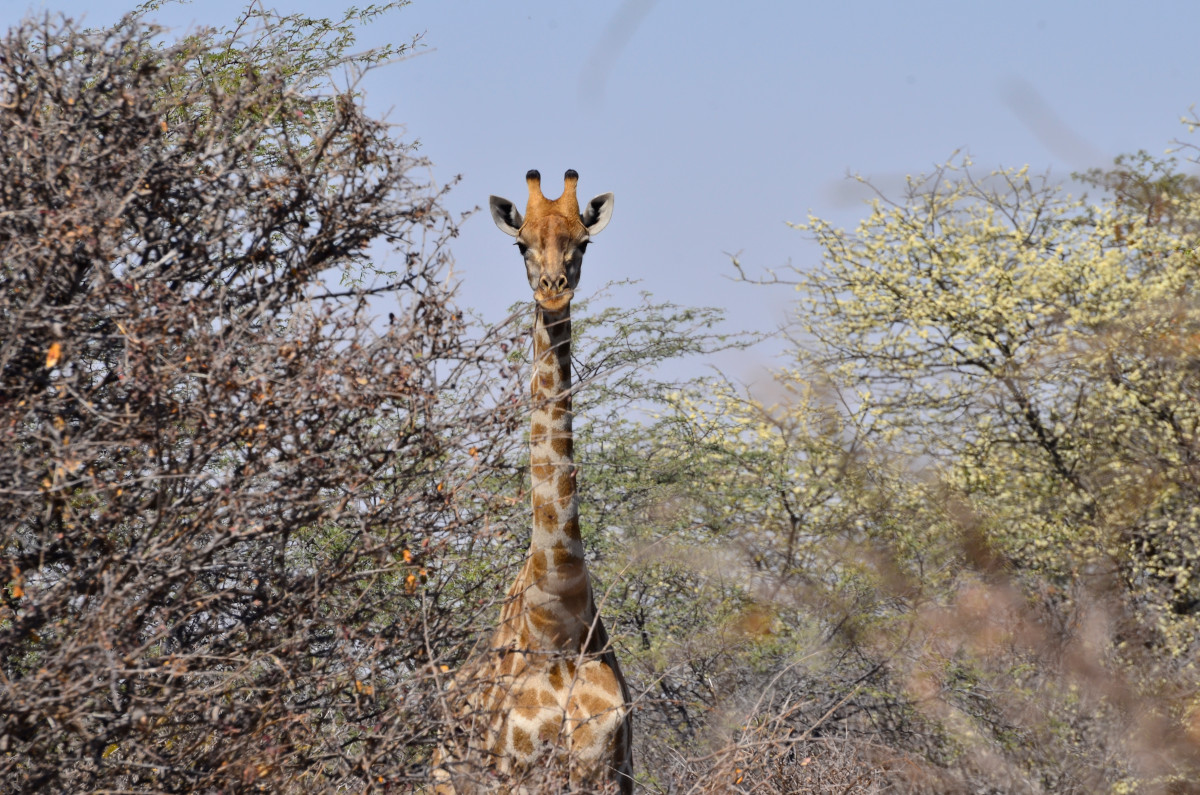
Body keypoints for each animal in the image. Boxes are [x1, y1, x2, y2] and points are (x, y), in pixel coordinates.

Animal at [433, 170, 632, 794]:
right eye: (521, 245)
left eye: (583, 243)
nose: (553, 291)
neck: (560, 618)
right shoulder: (515, 771)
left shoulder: (609, 770)